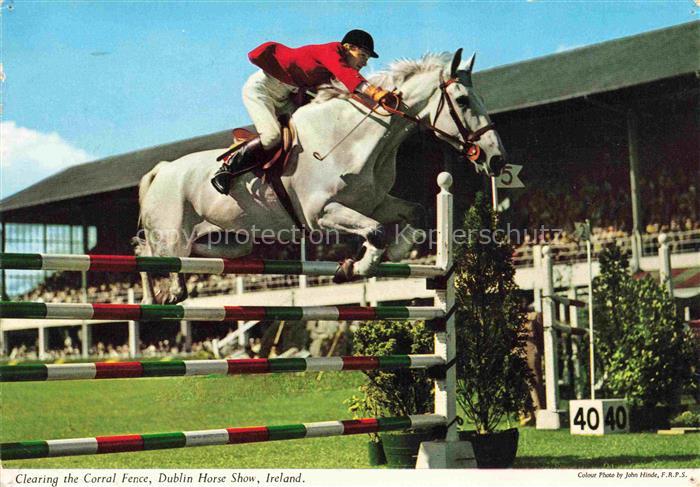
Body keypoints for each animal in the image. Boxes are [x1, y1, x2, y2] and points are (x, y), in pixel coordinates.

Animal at [135, 49, 507, 304]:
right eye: (463, 100)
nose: (497, 159)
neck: (356, 139)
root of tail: (162, 169)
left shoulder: (374, 203)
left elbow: (414, 212)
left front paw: (393, 253)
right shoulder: (321, 213)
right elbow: (376, 230)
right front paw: (360, 266)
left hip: (232, 240)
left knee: (191, 254)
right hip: (171, 234)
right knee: (153, 258)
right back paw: (158, 297)